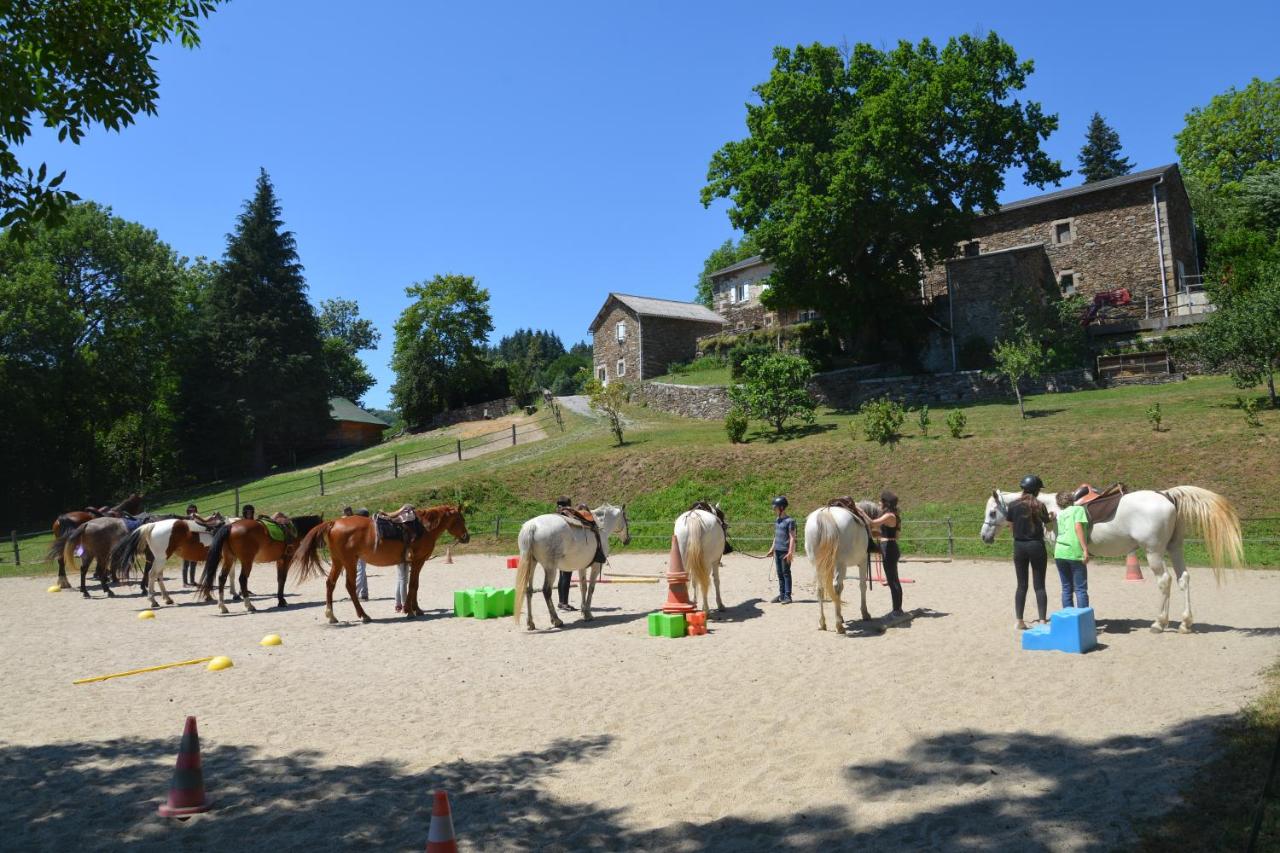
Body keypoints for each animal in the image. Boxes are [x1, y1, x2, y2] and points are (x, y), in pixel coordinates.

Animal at [197, 512, 325, 612]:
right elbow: (282, 579)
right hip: (247, 561)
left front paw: (280, 600)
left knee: (222, 578)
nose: (323, 544)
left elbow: (279, 579)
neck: (294, 530)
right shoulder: (286, 559)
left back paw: (223, 606)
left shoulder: (279, 560)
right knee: (242, 579)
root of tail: (230, 526)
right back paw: (249, 605)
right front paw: (282, 601)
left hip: (229, 559)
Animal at [290, 502, 471, 622]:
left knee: (330, 584)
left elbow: (414, 584)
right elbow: (413, 585)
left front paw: (416, 609)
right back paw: (364, 615)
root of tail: (333, 523)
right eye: (460, 519)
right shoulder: (418, 560)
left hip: (338, 561)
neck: (424, 527)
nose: (466, 537)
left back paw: (332, 616)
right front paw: (410, 610)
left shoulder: (413, 562)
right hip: (349, 562)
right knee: (350, 586)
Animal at [798, 499, 880, 630]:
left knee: (820, 589)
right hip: (840, 564)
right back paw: (838, 626)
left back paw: (822, 623)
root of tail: (825, 514)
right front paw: (865, 613)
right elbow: (862, 586)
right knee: (836, 586)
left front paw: (841, 616)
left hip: (818, 565)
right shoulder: (862, 562)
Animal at [977, 484, 1239, 630]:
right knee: (1183, 578)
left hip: (1154, 552)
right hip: (1175, 549)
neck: (1053, 509)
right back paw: (1185, 623)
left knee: (1165, 581)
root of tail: (1166, 495)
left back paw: (1159, 623)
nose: (984, 536)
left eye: (992, 512)